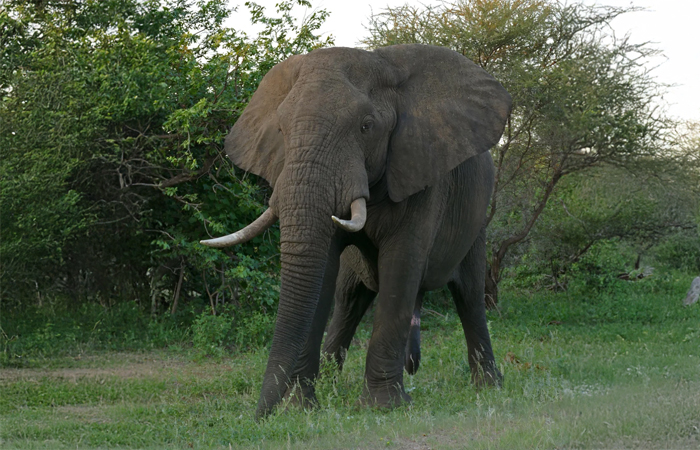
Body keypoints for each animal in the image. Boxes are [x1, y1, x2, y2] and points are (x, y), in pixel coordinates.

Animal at [201, 44, 511, 418]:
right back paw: (331, 385)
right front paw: (301, 408)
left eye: (366, 126)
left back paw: (489, 387)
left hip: (476, 219)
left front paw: (384, 407)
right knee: (348, 300)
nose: (259, 418)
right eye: (281, 130)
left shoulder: (421, 171)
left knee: (469, 295)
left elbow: (401, 267)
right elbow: (323, 274)